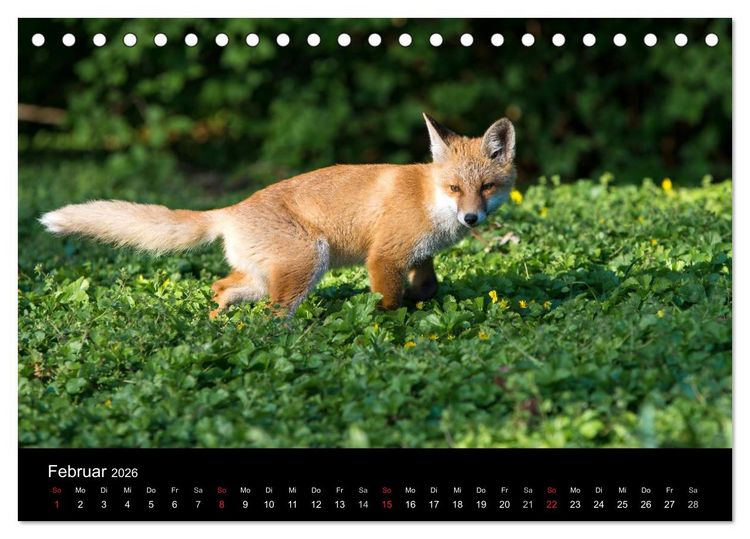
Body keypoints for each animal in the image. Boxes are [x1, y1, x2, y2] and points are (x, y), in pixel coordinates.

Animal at [40, 113, 516, 318]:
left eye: (486, 188)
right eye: (454, 188)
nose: (471, 220)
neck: (428, 198)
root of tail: (230, 209)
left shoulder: (417, 256)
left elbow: (428, 288)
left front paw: (422, 303)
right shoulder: (384, 257)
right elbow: (389, 301)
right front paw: (386, 327)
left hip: (265, 276)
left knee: (220, 287)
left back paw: (218, 323)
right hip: (308, 261)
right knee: (272, 319)